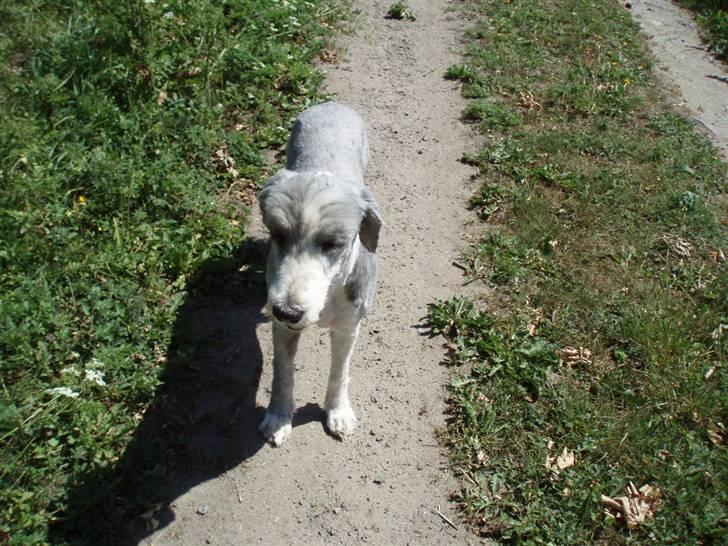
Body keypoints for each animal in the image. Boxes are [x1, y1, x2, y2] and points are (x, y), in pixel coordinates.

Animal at [258, 102, 384, 446]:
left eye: (333, 244)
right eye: (277, 235)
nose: (287, 310)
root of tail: (331, 104)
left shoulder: (348, 327)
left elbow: (339, 373)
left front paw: (337, 412)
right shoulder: (282, 329)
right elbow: (282, 372)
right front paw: (278, 416)